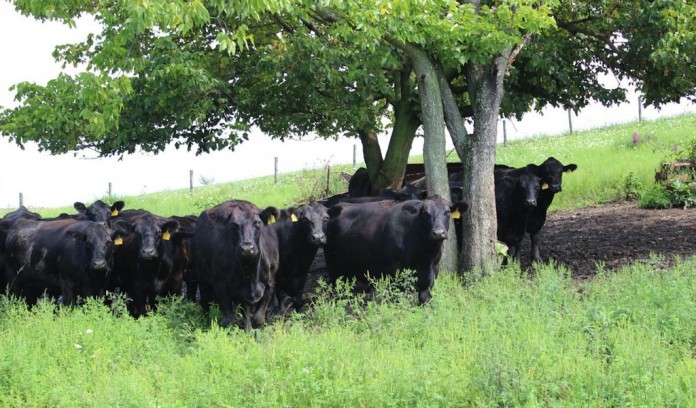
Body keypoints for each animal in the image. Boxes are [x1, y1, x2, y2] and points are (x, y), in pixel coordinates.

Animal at [192, 200, 280, 331]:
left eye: (257, 223)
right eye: (233, 225)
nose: (247, 248)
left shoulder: (270, 283)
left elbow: (258, 318)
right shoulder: (221, 286)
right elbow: (230, 320)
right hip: (202, 277)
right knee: (205, 301)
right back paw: (205, 321)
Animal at [324, 195, 468, 304]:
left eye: (447, 212)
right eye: (425, 213)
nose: (438, 233)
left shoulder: (432, 272)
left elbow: (424, 299)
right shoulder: (394, 272)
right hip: (333, 267)